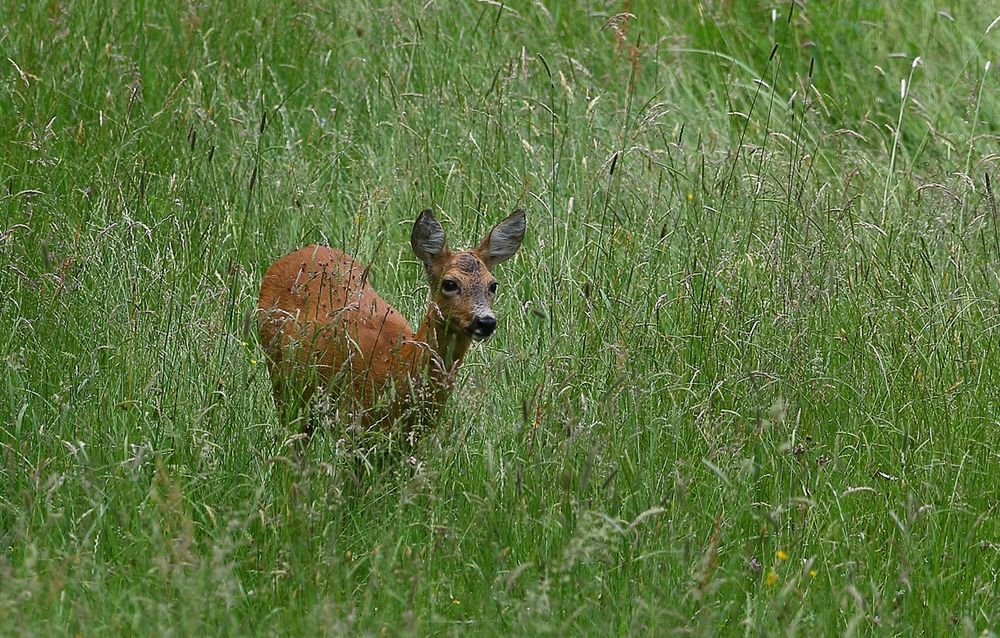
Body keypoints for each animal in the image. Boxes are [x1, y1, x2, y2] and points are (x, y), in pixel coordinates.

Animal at [254, 210, 528, 444]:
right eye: (449, 283)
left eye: (493, 285)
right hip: (283, 380)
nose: (486, 321)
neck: (396, 366)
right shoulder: (353, 423)